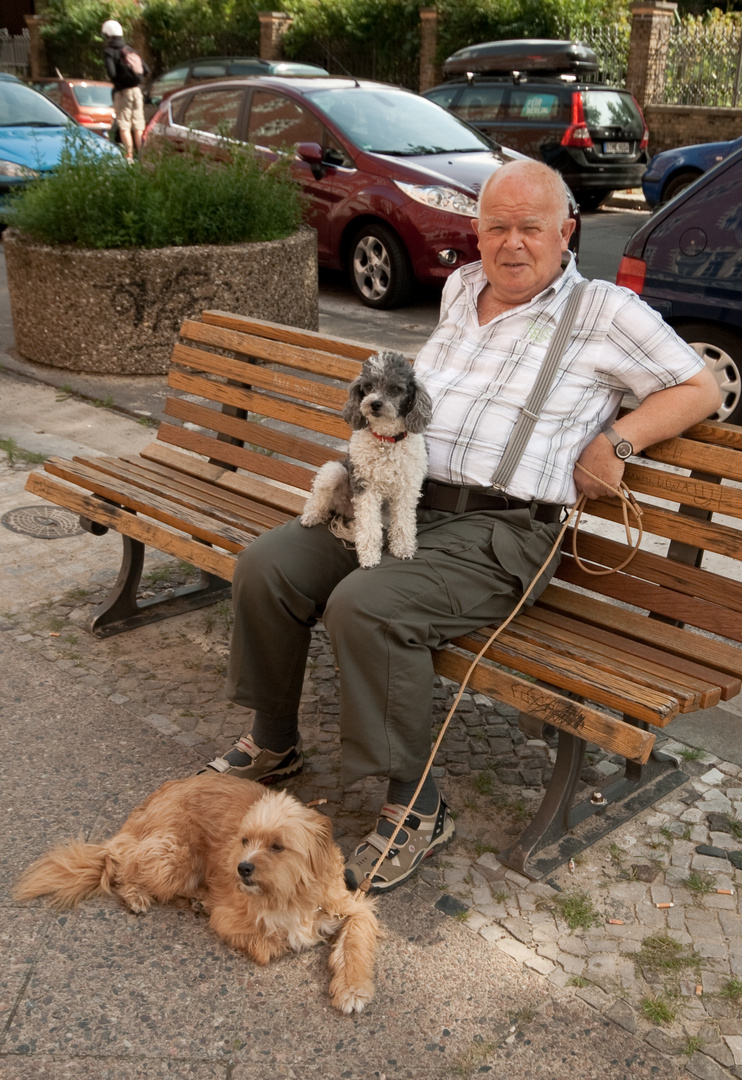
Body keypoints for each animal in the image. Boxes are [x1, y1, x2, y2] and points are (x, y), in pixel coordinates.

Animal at [14, 777, 380, 1010]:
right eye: (244, 840)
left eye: (278, 846)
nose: (242, 868)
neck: (290, 892)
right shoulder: (229, 918)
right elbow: (270, 944)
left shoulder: (353, 908)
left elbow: (354, 943)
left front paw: (352, 988)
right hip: (173, 857)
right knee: (121, 863)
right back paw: (136, 894)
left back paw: (195, 898)